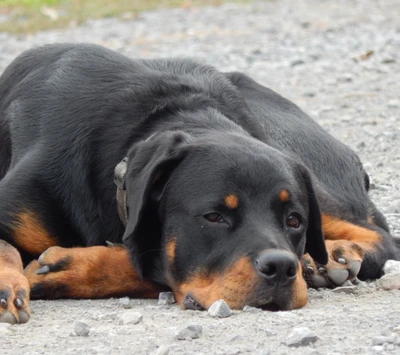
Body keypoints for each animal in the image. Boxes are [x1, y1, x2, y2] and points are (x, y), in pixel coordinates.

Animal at [0, 43, 400, 324]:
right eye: (213, 217)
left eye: (294, 220)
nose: (282, 267)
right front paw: (7, 285)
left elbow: (152, 261)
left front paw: (72, 267)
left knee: (382, 235)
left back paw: (335, 254)